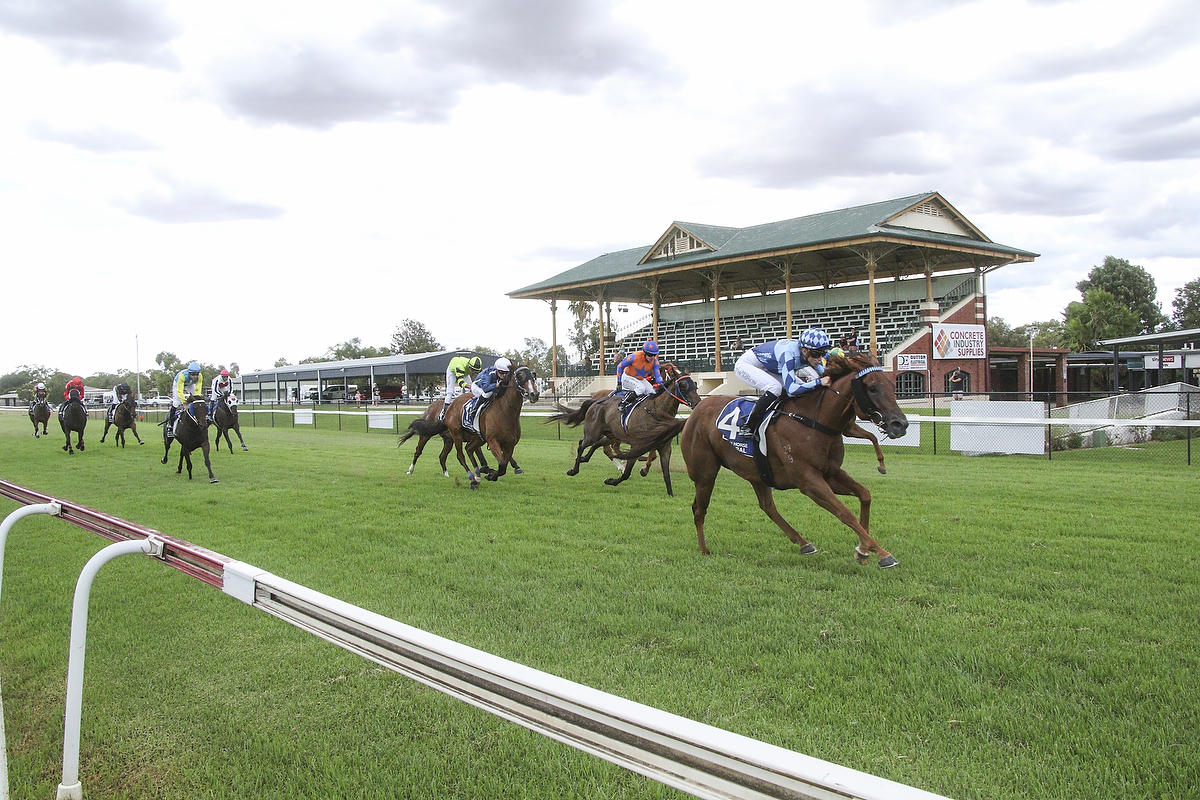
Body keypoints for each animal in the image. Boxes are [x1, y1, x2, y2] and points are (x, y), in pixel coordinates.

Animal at [547, 367, 700, 494]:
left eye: (695, 385)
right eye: (683, 385)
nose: (698, 403)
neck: (656, 411)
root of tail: (595, 401)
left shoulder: (664, 447)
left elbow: (666, 474)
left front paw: (671, 495)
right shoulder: (637, 445)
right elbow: (627, 472)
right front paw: (611, 480)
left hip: (612, 435)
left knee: (599, 445)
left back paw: (585, 459)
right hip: (593, 433)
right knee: (583, 444)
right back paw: (574, 470)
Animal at [681, 352, 902, 568]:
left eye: (892, 386)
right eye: (872, 388)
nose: (900, 424)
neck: (814, 421)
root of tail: (698, 407)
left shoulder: (830, 474)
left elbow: (865, 494)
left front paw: (863, 551)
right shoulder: (809, 481)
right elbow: (845, 513)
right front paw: (882, 553)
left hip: (756, 472)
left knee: (767, 506)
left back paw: (803, 543)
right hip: (705, 475)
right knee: (699, 509)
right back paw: (703, 550)